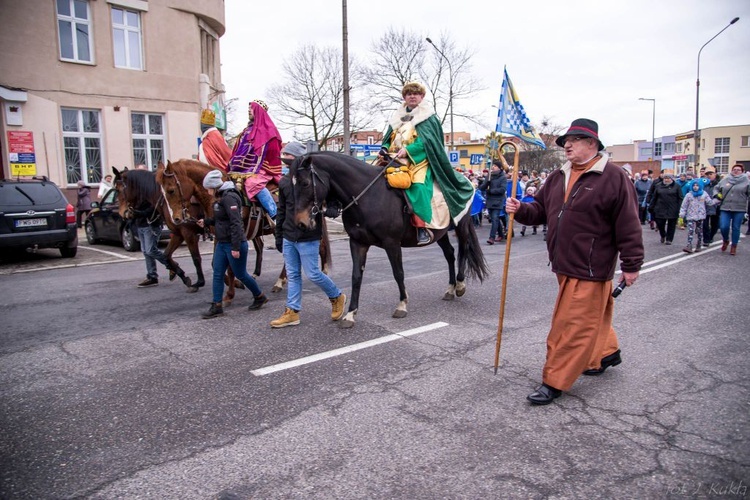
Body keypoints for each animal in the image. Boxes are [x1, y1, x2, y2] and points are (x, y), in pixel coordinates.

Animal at [155, 158, 332, 302]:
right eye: (161, 191)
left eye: (171, 190)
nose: (176, 218)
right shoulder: (216, 236)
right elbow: (217, 264)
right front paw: (235, 284)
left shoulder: (200, 234)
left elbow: (215, 263)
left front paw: (232, 287)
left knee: (318, 248)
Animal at [290, 149, 490, 328]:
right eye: (292, 185)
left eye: (305, 183)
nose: (300, 223)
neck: (367, 196)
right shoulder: (358, 243)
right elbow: (356, 276)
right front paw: (350, 314)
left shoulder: (391, 243)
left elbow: (398, 272)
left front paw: (402, 305)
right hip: (440, 232)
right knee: (450, 254)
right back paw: (450, 289)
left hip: (461, 224)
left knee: (464, 249)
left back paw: (460, 285)